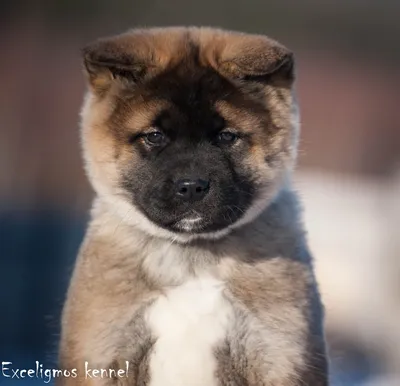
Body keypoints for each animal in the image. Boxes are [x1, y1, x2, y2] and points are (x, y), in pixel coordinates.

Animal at [57, 27, 330, 386]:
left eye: (226, 136)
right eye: (154, 136)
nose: (191, 187)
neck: (191, 259)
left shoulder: (279, 353)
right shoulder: (102, 351)